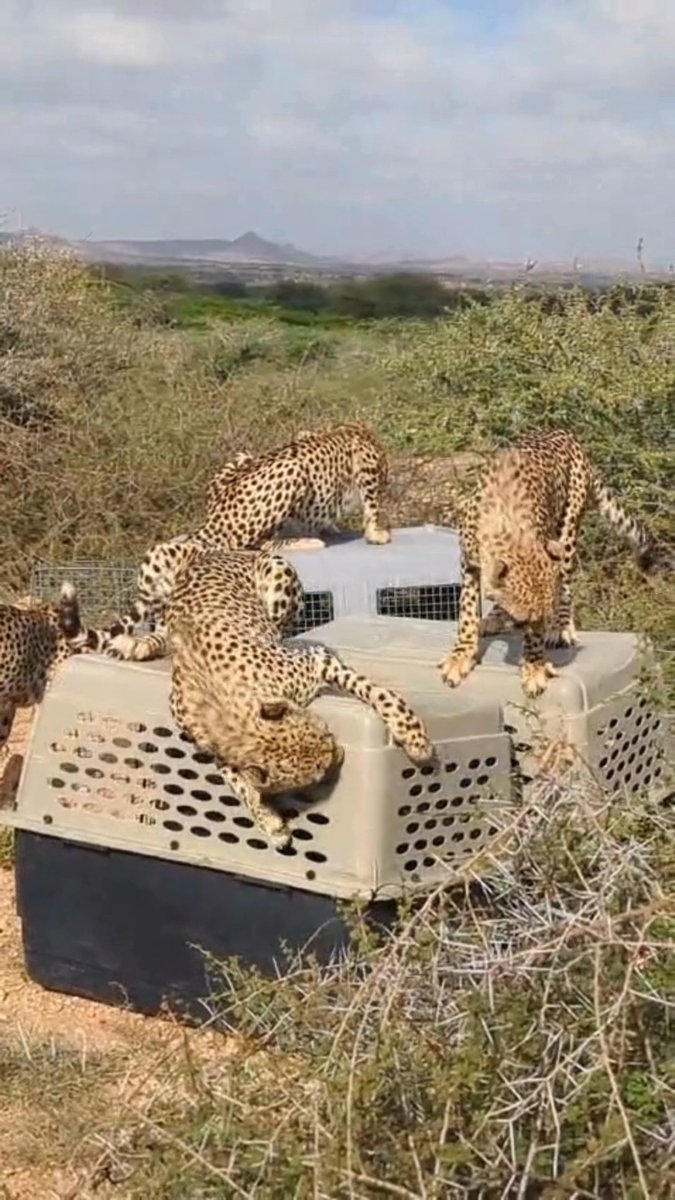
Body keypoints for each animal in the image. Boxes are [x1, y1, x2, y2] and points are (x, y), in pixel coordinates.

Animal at [91, 421, 391, 651]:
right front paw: (376, 533)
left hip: (243, 457)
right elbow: (373, 503)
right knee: (251, 543)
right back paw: (305, 540)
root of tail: (212, 520)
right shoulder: (366, 465)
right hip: (291, 470)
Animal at [100, 545, 435, 845]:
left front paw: (413, 737)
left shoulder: (318, 659)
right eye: (315, 772)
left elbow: (374, 691)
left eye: (326, 731)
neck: (229, 703)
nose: (339, 754)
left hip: (276, 578)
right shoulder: (212, 743)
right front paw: (269, 822)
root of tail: (214, 551)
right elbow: (238, 781)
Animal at [438, 428, 672, 699]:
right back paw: (495, 616)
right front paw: (461, 656)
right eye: (522, 621)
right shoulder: (470, 564)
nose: (543, 629)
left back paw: (561, 627)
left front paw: (534, 667)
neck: (508, 530)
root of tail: (566, 434)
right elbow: (467, 612)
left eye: (540, 619)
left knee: (566, 584)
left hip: (567, 530)